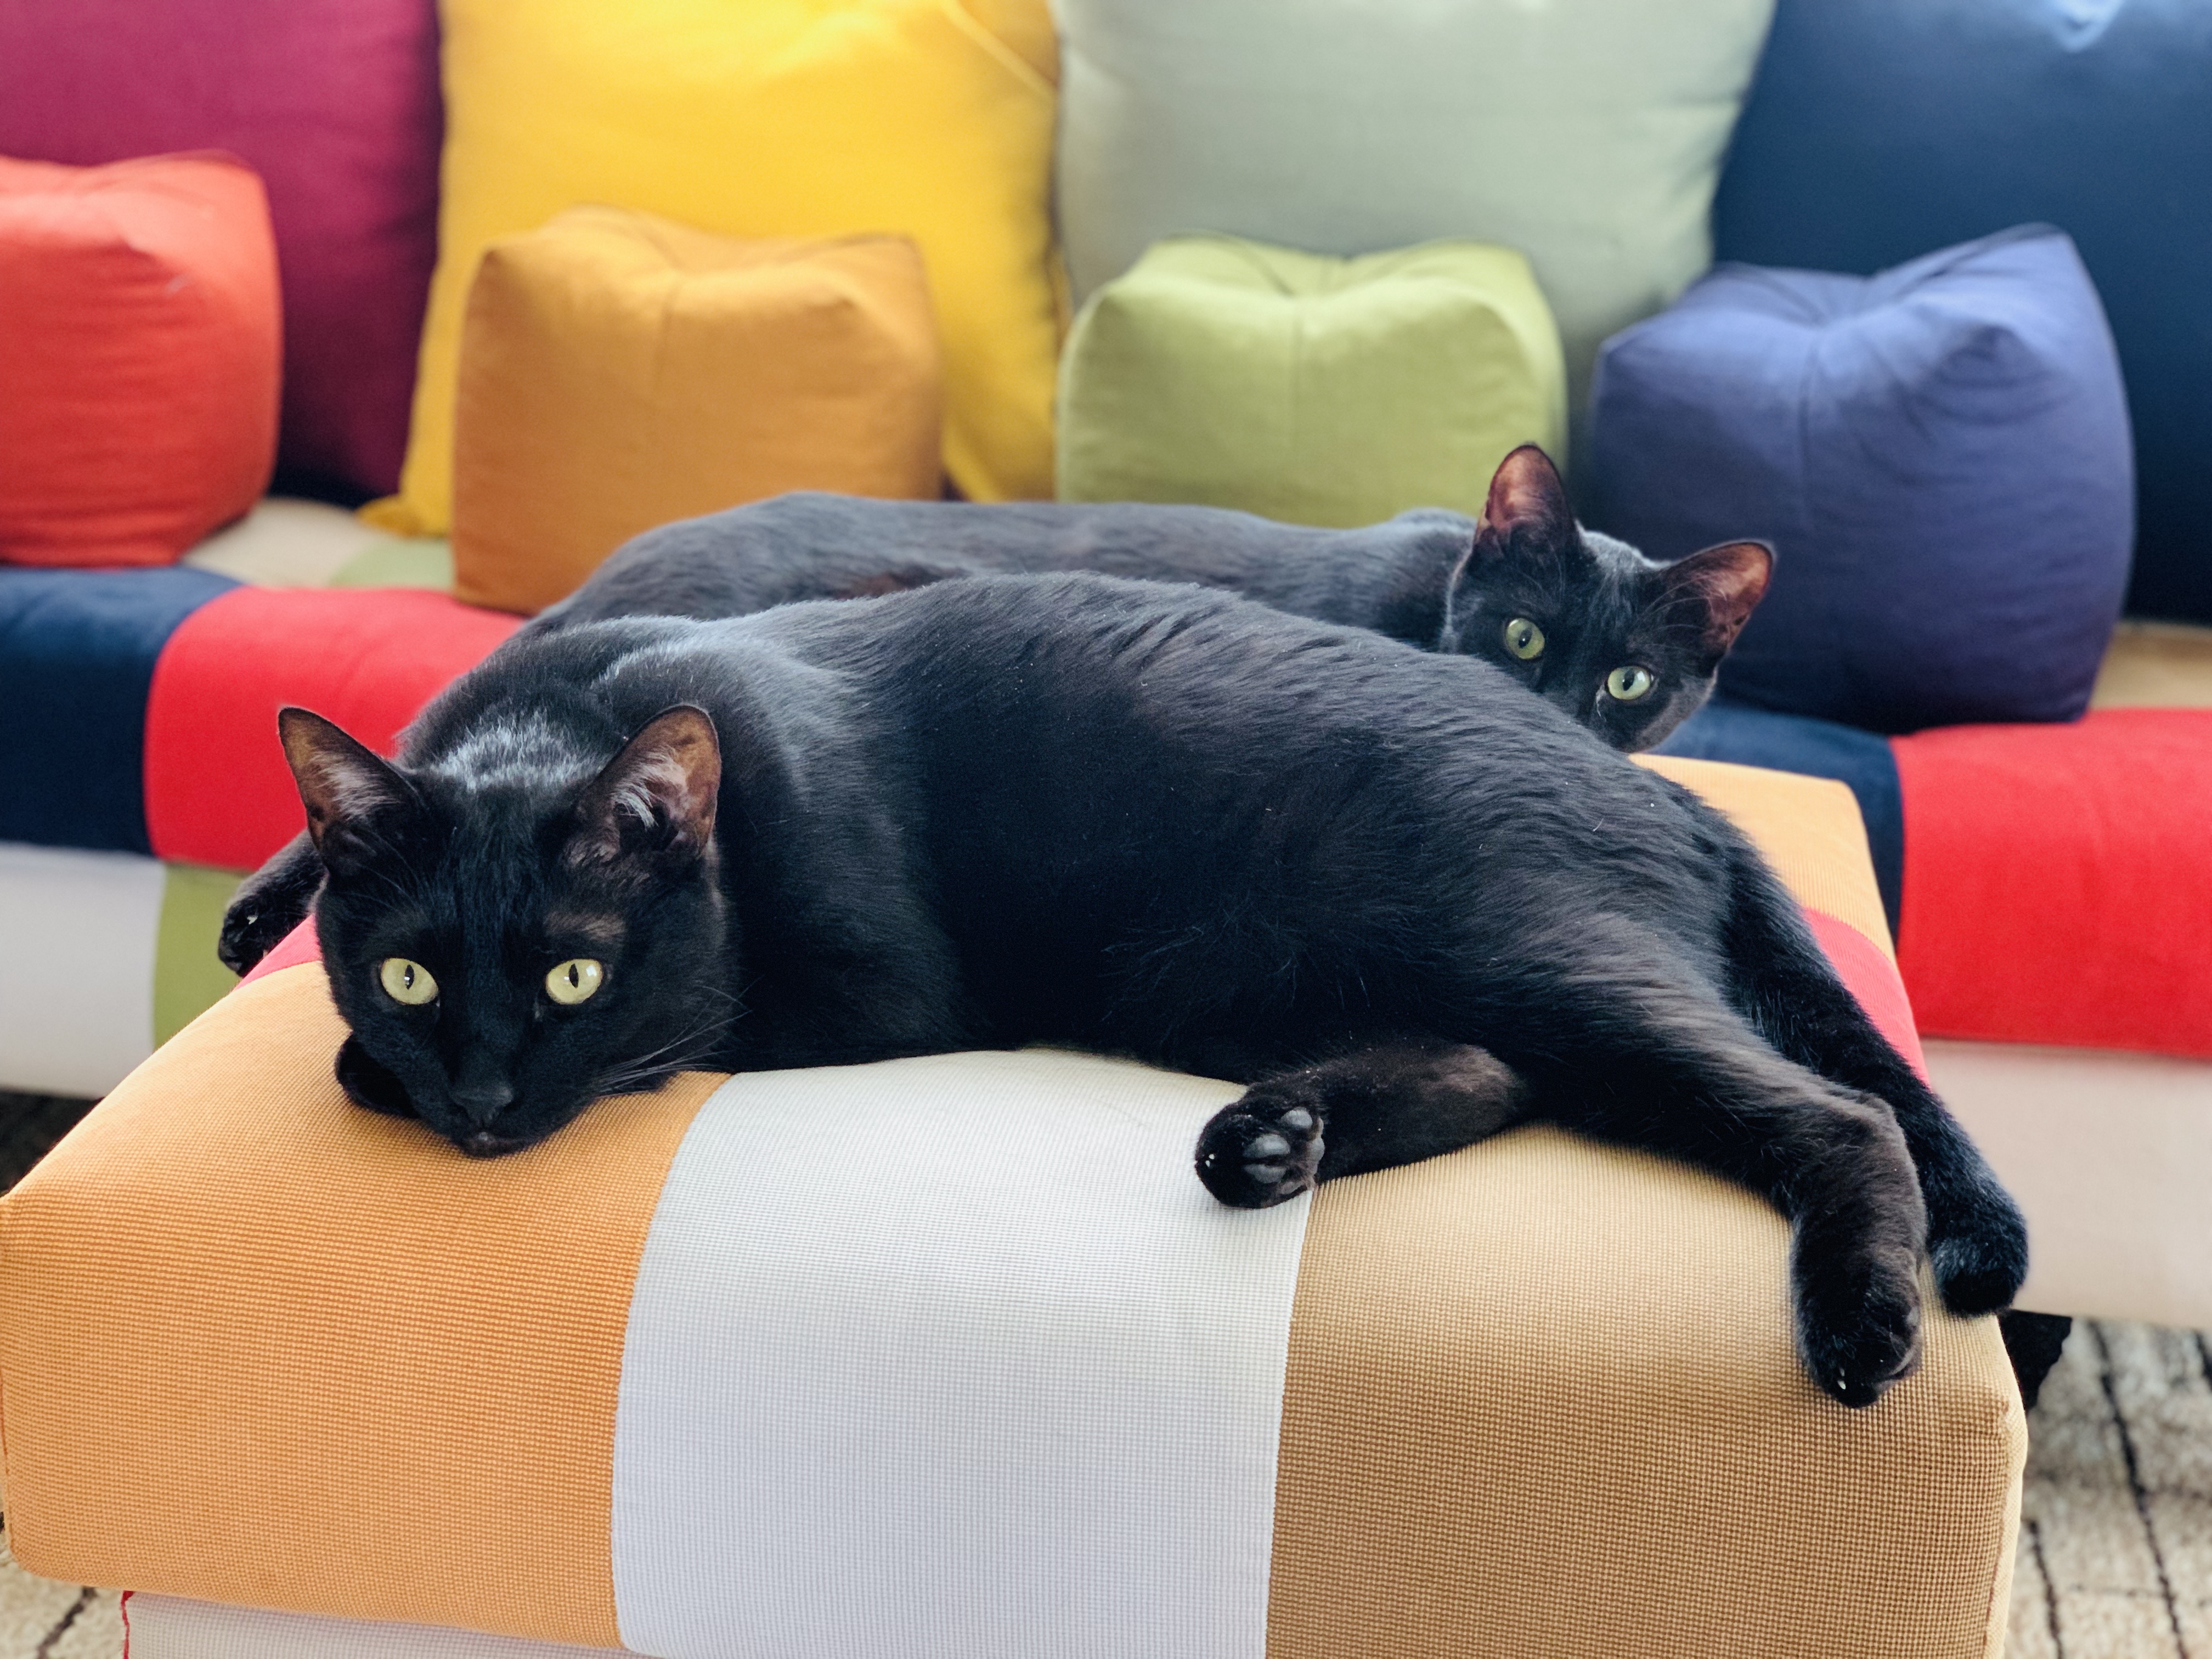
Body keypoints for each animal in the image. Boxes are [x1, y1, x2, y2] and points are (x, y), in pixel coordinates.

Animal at [245, 571, 2024, 1410]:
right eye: (409, 968)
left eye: (573, 973)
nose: (480, 1097)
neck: (558, 713)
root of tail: (1671, 790)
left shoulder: (867, 999)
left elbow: (670, 1035)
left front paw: (371, 1067)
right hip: (1261, 986)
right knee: (1490, 1075)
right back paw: (1275, 1143)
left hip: (1534, 948)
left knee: (1838, 1109)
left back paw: (1864, 1319)